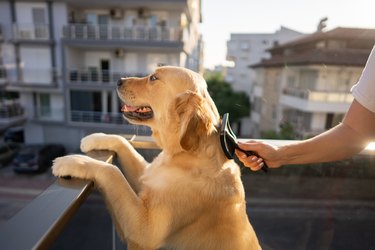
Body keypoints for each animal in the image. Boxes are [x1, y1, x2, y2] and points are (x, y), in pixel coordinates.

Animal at [53, 65, 262, 249]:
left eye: (153, 78)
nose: (119, 81)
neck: (181, 154)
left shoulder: (144, 228)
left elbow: (112, 171)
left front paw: (71, 161)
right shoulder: (145, 176)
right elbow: (122, 141)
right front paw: (94, 138)